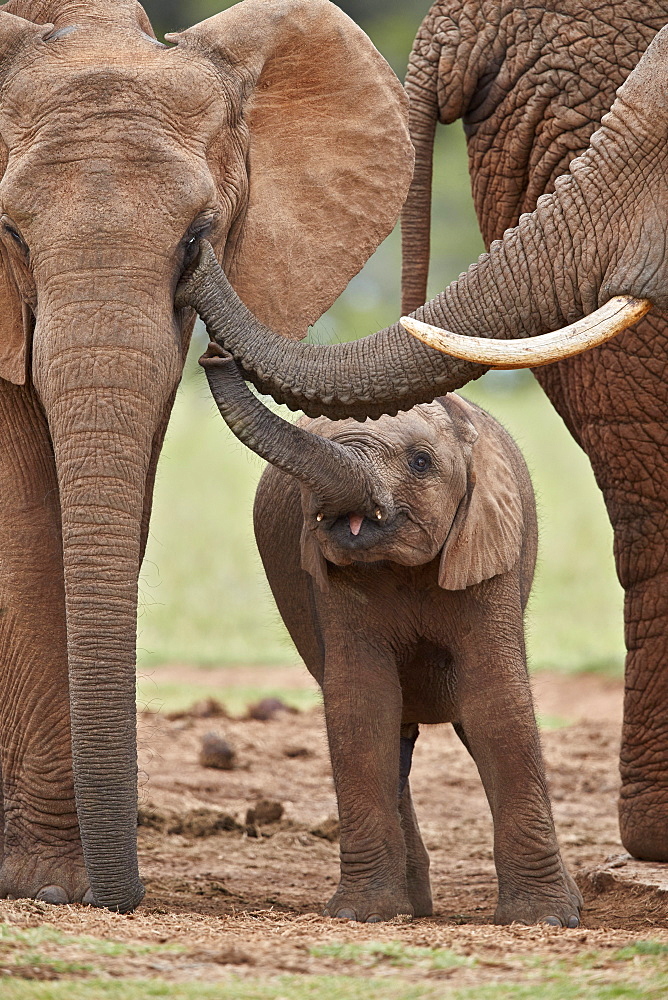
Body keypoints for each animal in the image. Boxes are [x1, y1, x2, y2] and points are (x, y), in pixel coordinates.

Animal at [0, 0, 412, 916]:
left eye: (196, 239)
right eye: (9, 232)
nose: (120, 898)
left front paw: (50, 882)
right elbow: (27, 525)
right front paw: (47, 884)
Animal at [201, 346, 580, 928]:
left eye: (421, 463)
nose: (213, 354)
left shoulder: (489, 545)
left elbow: (497, 701)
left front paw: (542, 920)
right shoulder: (333, 581)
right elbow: (362, 706)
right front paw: (361, 915)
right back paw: (410, 908)